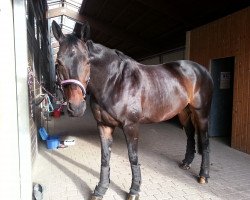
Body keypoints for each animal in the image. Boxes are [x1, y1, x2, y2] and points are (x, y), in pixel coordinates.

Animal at [52, 20, 213, 200]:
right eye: (58, 63)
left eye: (87, 62)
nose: (76, 107)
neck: (114, 81)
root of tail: (201, 70)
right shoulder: (103, 125)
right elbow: (105, 158)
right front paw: (100, 190)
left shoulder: (131, 126)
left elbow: (133, 157)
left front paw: (134, 191)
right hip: (184, 113)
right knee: (190, 135)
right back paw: (186, 163)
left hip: (201, 113)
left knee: (205, 140)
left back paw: (203, 176)